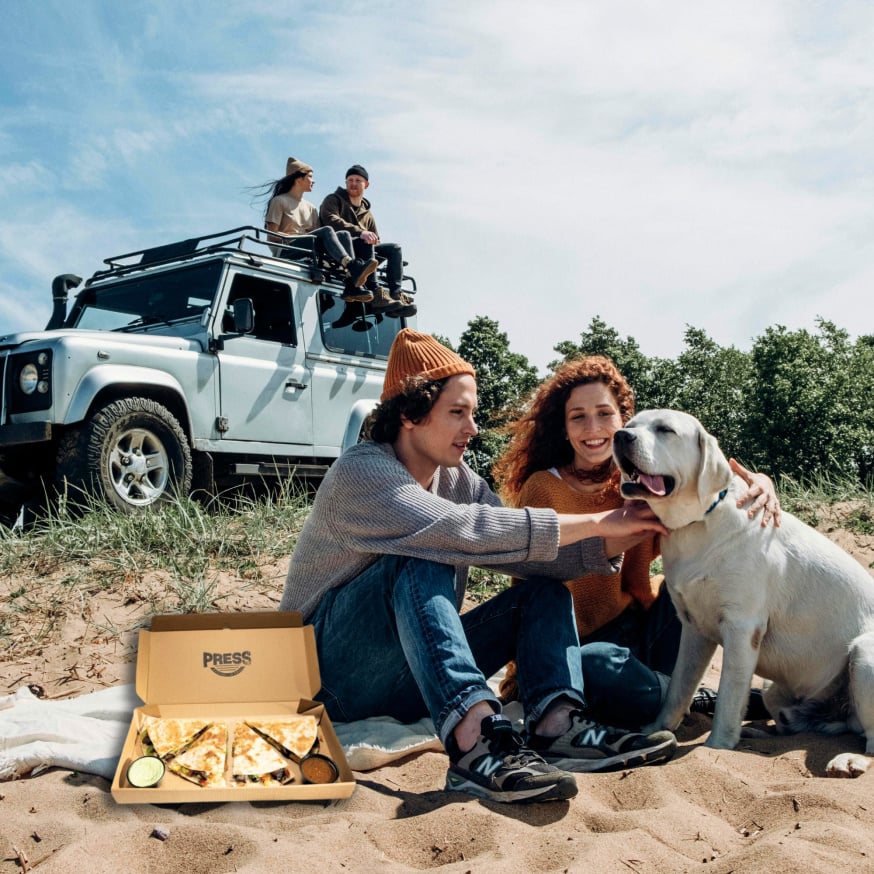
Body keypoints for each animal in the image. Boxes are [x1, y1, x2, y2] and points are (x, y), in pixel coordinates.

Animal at [608, 408, 872, 776]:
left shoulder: (742, 628)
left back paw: (849, 759)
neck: (698, 523)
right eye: (631, 425)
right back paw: (761, 732)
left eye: (665, 430)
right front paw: (656, 730)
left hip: (863, 654)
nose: (620, 436)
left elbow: (730, 694)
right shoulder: (693, 629)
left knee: (870, 738)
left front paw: (718, 745)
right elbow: (677, 688)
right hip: (777, 691)